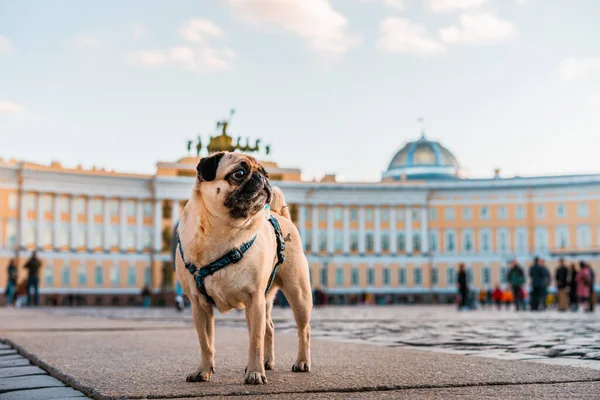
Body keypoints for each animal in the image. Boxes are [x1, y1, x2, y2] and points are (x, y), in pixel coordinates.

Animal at [175, 150, 312, 384]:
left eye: (265, 173)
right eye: (239, 174)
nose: (263, 178)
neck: (221, 232)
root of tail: (281, 215)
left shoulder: (253, 299)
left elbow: (254, 341)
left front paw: (255, 372)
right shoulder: (199, 305)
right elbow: (206, 343)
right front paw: (203, 370)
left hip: (298, 293)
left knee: (303, 330)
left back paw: (301, 362)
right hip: (266, 298)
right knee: (269, 327)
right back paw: (268, 362)